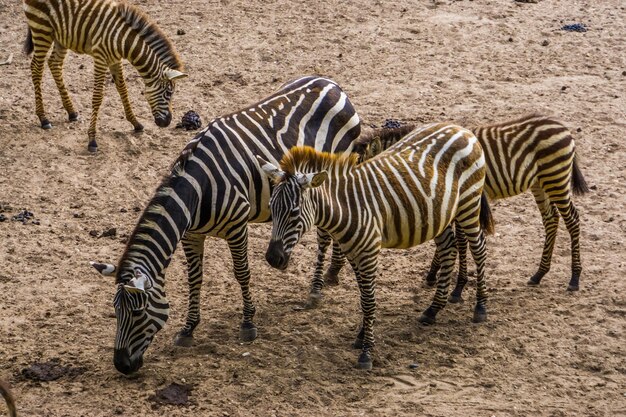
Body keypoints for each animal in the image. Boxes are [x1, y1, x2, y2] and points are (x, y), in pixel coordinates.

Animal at [22, 0, 188, 151]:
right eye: (169, 93)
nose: (167, 122)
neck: (123, 40)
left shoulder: (115, 60)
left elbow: (123, 90)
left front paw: (135, 123)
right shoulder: (100, 58)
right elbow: (97, 97)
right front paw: (92, 139)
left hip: (60, 36)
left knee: (54, 64)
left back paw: (71, 112)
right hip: (41, 29)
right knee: (36, 67)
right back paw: (43, 118)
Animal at [89, 75, 358, 374]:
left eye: (137, 313)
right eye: (115, 311)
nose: (121, 366)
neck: (197, 191)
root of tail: (330, 83)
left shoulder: (237, 227)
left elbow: (242, 273)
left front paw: (248, 323)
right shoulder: (191, 235)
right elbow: (194, 279)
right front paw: (188, 329)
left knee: (326, 231)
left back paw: (316, 288)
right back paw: (334, 271)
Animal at [258, 122, 492, 368]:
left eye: (294, 212)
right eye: (271, 208)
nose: (272, 258)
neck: (347, 206)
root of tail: (459, 127)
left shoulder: (369, 253)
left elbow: (369, 301)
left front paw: (366, 352)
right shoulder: (354, 253)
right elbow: (363, 298)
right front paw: (361, 336)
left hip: (468, 203)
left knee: (479, 249)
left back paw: (480, 307)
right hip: (440, 214)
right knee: (448, 249)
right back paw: (433, 310)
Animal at [324, 112, 588, 298]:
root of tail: (563, 127)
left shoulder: (460, 201)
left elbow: (460, 242)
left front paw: (454, 286)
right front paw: (437, 275)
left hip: (556, 178)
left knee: (572, 219)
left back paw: (574, 278)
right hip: (540, 183)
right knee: (551, 219)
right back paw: (539, 274)